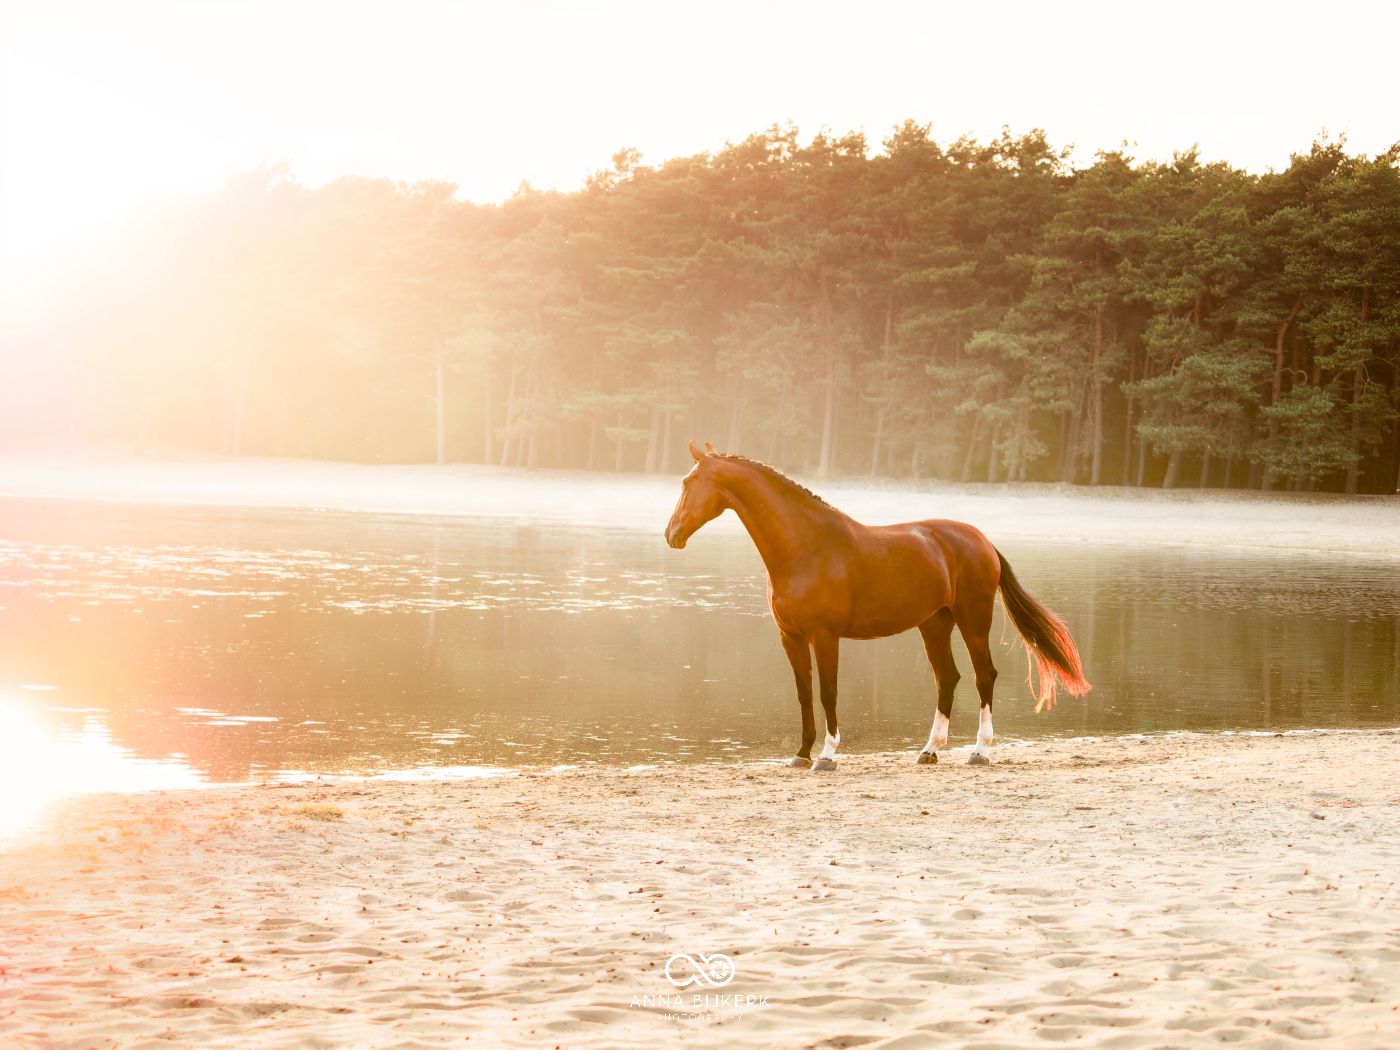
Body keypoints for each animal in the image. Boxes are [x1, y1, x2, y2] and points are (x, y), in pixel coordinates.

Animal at [664, 440, 1090, 770]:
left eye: (688, 482)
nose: (672, 535)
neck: (807, 546)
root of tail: (982, 540)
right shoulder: (791, 637)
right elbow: (804, 693)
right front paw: (801, 753)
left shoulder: (825, 636)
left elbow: (828, 692)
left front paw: (827, 756)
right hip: (935, 624)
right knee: (947, 678)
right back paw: (929, 751)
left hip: (974, 619)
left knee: (984, 675)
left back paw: (979, 752)